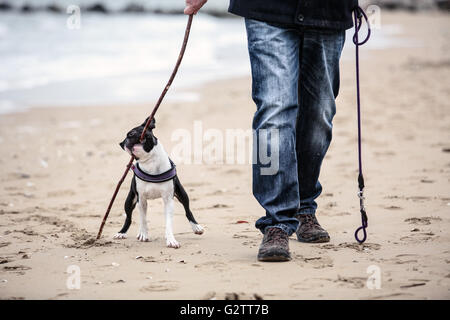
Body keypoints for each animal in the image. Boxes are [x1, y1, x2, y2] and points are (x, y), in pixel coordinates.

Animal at [114, 117, 204, 248]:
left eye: (131, 134)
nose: (123, 142)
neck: (150, 161)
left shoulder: (168, 200)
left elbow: (169, 222)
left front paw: (171, 239)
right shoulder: (141, 199)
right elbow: (143, 219)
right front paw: (144, 234)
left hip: (182, 193)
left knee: (188, 210)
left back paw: (196, 227)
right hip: (130, 200)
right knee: (129, 218)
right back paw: (122, 232)